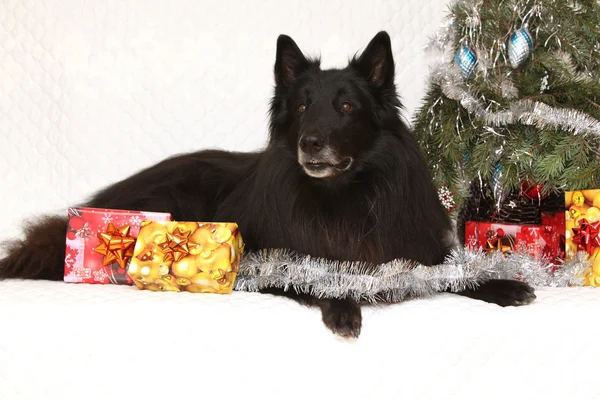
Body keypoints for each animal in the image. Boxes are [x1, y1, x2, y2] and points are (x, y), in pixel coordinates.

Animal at [0, 32, 536, 338]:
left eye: (346, 107)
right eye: (301, 106)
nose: (310, 143)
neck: (341, 196)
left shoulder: (412, 246)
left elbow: (455, 269)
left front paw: (503, 284)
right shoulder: (267, 258)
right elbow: (314, 273)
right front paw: (343, 305)